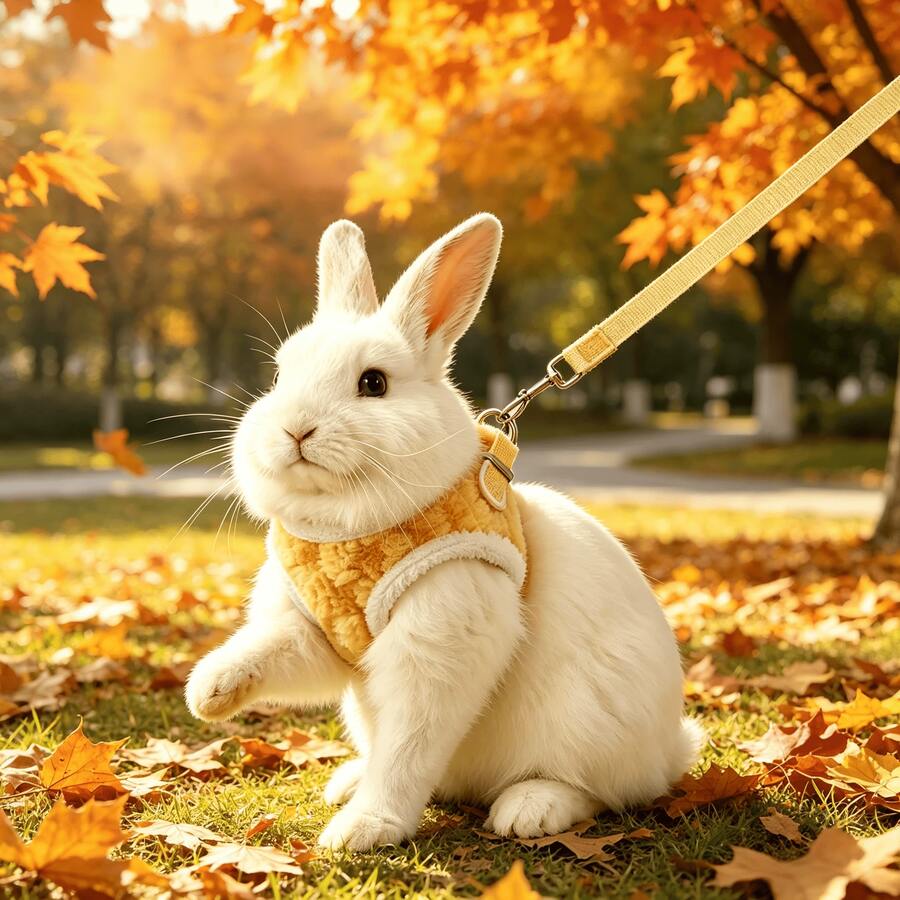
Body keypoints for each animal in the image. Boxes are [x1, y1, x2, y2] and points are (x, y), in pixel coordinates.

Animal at [185, 213, 704, 851]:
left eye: (374, 383)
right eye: (281, 374)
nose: (295, 429)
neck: (347, 531)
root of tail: (670, 749)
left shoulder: (441, 636)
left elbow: (411, 746)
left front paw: (362, 831)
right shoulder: (314, 630)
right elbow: (270, 650)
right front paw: (208, 692)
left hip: (589, 725)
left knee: (599, 790)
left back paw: (529, 808)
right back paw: (347, 779)